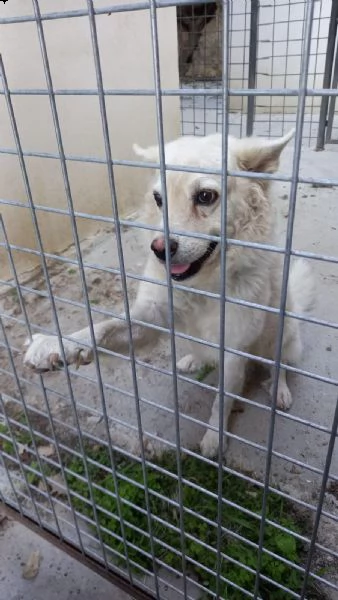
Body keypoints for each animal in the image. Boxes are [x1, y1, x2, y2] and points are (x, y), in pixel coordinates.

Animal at [23, 129, 314, 458]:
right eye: (158, 199)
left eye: (205, 196)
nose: (159, 249)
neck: (202, 285)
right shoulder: (152, 316)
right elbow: (107, 327)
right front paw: (57, 345)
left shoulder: (233, 351)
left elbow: (221, 402)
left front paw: (214, 439)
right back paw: (192, 360)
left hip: (284, 335)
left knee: (280, 367)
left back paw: (280, 391)